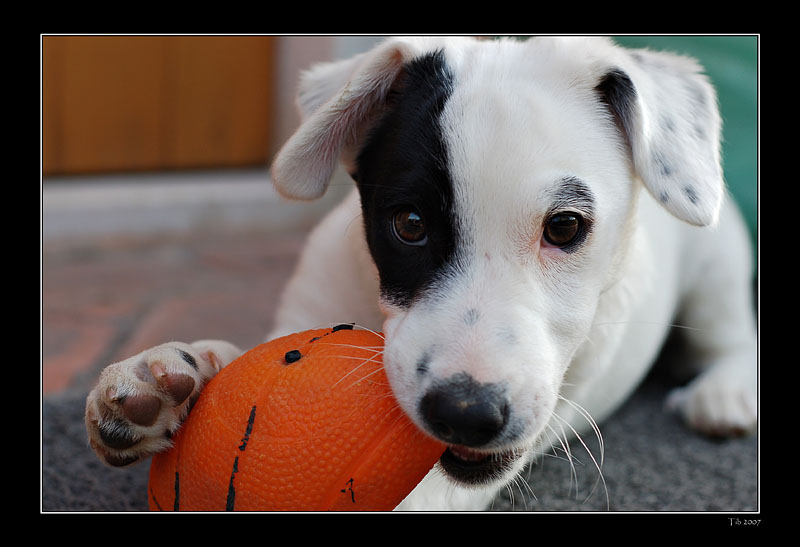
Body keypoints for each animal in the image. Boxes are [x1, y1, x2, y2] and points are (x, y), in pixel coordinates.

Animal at [86, 36, 756, 512]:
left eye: (566, 228)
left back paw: (725, 393)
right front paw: (170, 373)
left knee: (732, 338)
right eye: (409, 224)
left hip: (717, 270)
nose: (465, 413)